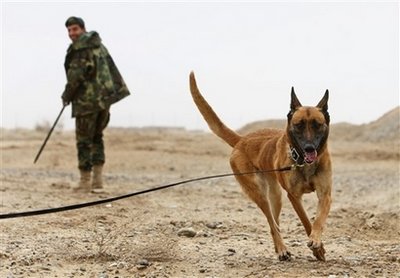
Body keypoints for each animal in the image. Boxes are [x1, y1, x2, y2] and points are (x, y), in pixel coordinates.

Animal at [189, 72, 332, 260]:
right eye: (299, 125)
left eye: (317, 125)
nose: (309, 148)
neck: (301, 162)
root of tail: (242, 139)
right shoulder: (294, 197)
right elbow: (306, 221)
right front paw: (317, 248)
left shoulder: (325, 195)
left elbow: (318, 220)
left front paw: (317, 241)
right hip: (259, 194)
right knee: (272, 223)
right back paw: (282, 249)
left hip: (275, 196)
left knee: (275, 223)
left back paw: (279, 248)